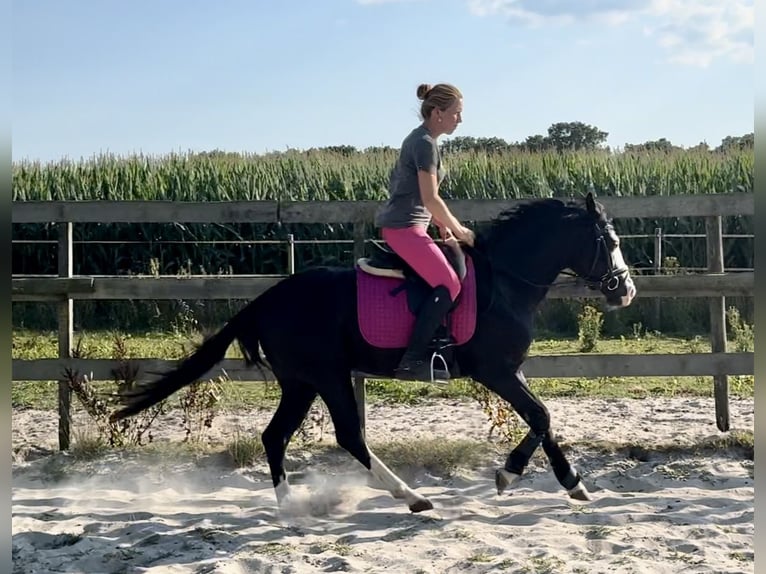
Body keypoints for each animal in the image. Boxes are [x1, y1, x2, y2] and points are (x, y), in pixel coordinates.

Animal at [110, 192, 636, 513]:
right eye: (609, 241)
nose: (625, 290)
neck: (502, 282)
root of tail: (267, 298)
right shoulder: (495, 371)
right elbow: (541, 416)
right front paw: (509, 475)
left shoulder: (510, 370)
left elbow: (543, 419)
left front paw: (573, 483)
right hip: (327, 377)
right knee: (348, 435)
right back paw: (411, 496)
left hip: (301, 382)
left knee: (275, 436)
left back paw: (290, 507)